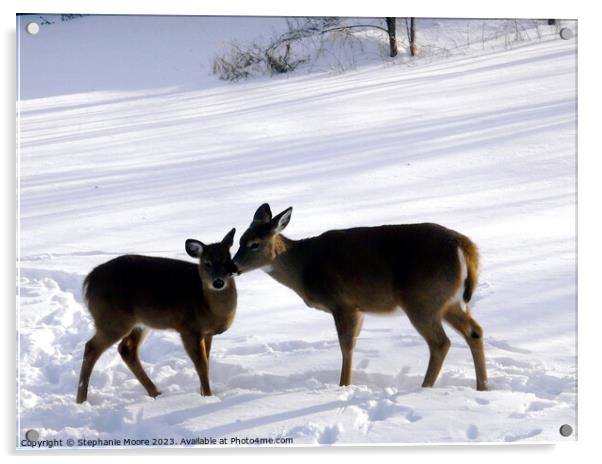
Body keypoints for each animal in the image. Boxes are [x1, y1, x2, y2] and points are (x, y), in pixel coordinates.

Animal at [77, 228, 239, 402]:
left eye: (227, 261)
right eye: (207, 263)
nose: (218, 282)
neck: (206, 304)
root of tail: (88, 281)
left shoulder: (207, 333)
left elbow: (206, 362)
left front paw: (204, 394)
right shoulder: (188, 328)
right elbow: (201, 365)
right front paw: (208, 396)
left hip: (138, 324)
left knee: (126, 349)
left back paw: (156, 393)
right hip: (112, 320)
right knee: (91, 347)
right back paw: (81, 400)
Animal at [232, 205, 486, 390]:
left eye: (254, 244)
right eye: (239, 241)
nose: (232, 266)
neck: (304, 269)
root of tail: (464, 246)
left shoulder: (342, 302)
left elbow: (346, 346)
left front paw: (344, 385)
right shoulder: (359, 308)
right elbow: (351, 344)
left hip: (421, 300)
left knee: (441, 343)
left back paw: (425, 388)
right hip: (448, 301)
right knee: (474, 331)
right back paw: (482, 386)